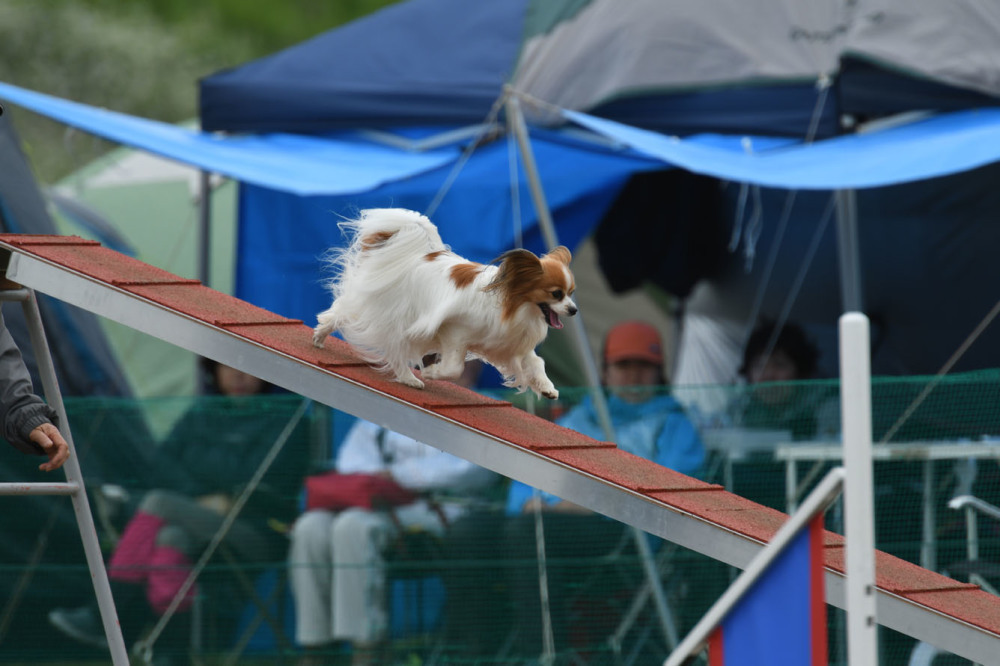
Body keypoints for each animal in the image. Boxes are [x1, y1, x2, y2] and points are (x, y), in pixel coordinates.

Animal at [312, 208, 580, 396]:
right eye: (556, 294)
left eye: (571, 292)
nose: (574, 310)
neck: (513, 305)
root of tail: (419, 255)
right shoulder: (456, 334)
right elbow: (454, 370)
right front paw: (432, 372)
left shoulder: (510, 346)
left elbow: (537, 362)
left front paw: (546, 387)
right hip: (396, 315)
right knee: (384, 338)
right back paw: (407, 377)